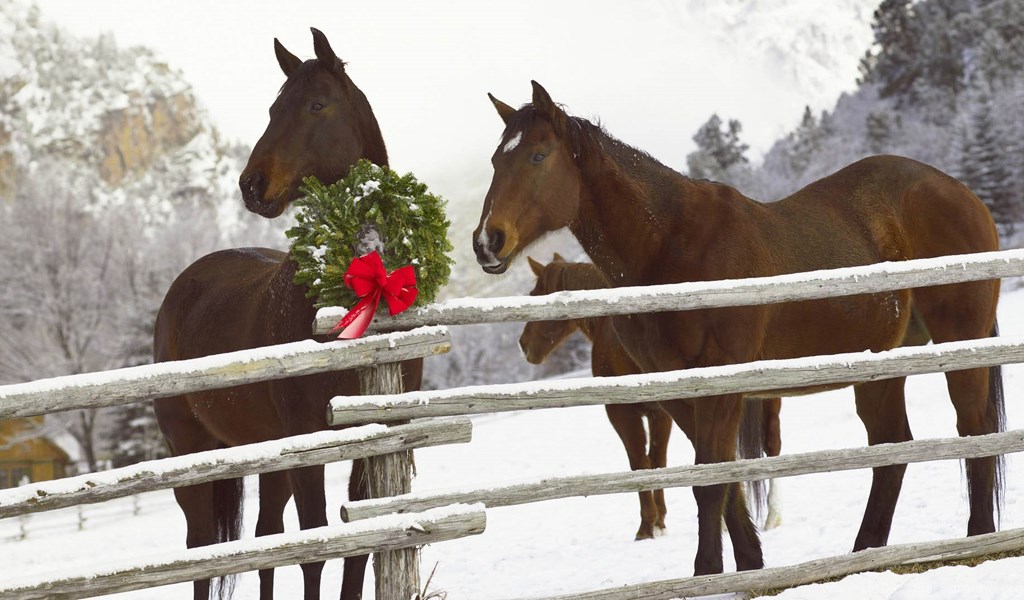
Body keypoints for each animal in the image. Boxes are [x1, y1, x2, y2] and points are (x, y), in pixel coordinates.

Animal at [153, 29, 416, 600]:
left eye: (317, 105)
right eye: (274, 108)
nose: (252, 185)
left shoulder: (373, 438)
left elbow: (355, 548)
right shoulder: (307, 442)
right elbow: (315, 547)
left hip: (270, 454)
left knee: (265, 537)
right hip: (192, 451)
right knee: (203, 548)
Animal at [518, 254, 784, 539]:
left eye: (534, 295)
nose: (523, 344)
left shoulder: (624, 414)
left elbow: (641, 463)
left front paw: (647, 526)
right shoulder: (661, 413)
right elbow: (657, 461)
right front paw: (660, 521)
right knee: (766, 446)